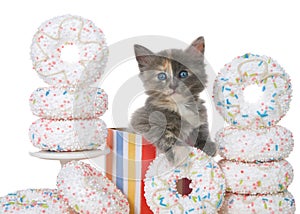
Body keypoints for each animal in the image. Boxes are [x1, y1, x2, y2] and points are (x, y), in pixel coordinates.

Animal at [131, 36, 216, 165]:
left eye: (183, 74)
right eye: (161, 76)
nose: (173, 85)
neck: (179, 106)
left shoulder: (200, 114)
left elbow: (202, 129)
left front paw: (208, 145)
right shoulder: (140, 120)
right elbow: (164, 133)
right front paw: (179, 152)